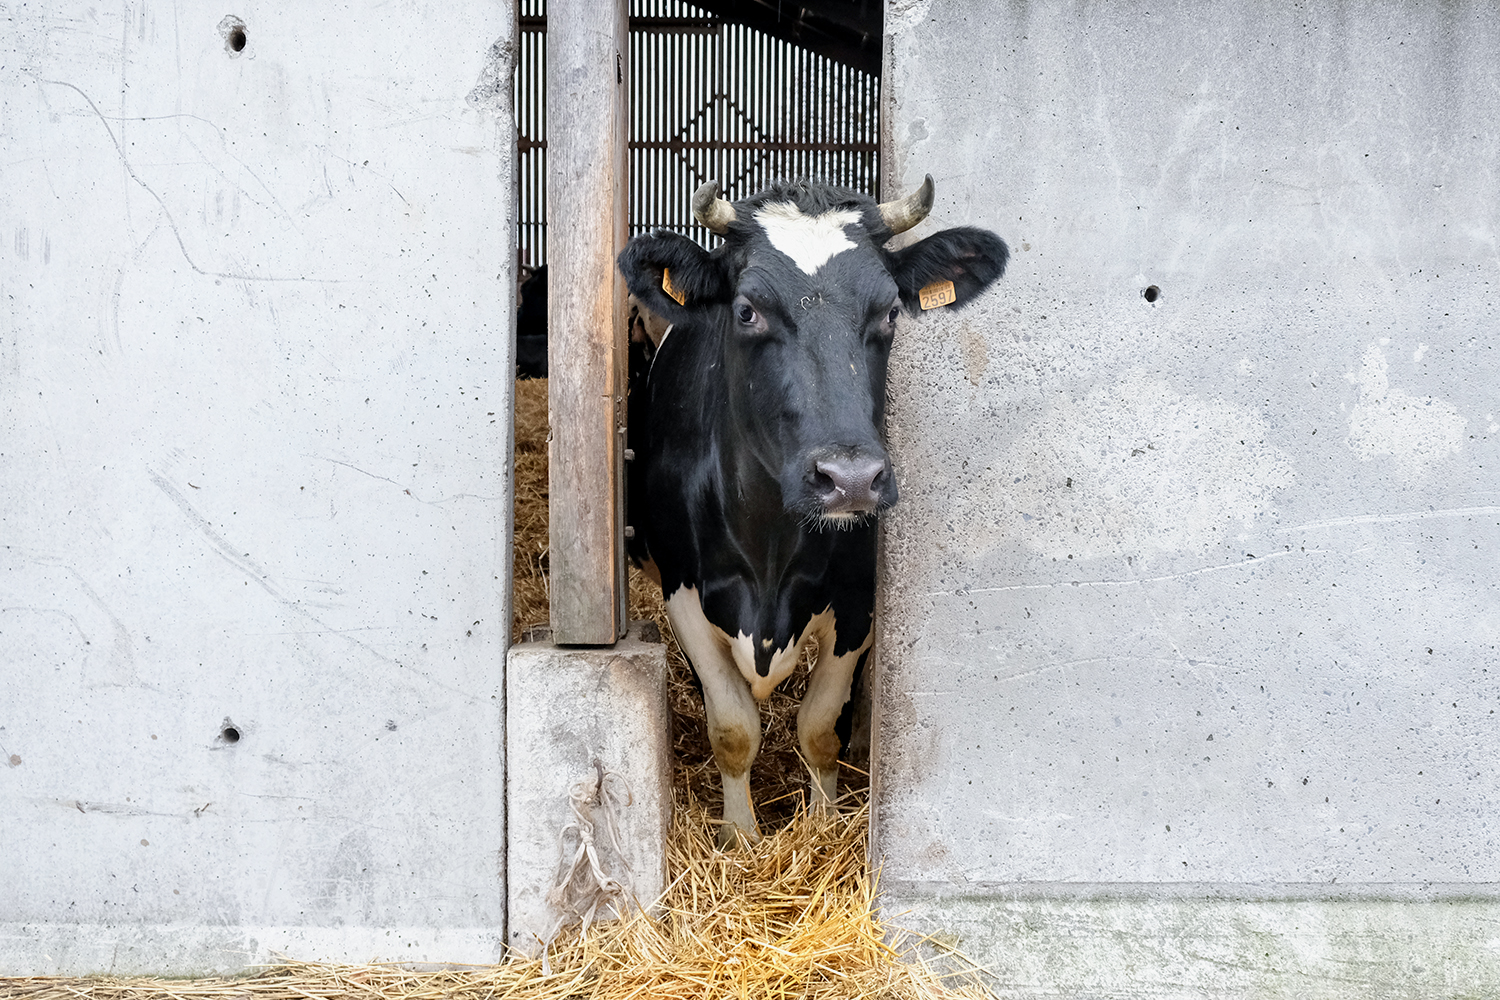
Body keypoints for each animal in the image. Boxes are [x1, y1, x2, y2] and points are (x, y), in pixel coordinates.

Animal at [615, 177, 1014, 845]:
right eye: (746, 310)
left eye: (891, 310)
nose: (850, 479)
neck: (771, 553)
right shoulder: (682, 592)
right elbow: (733, 728)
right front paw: (741, 836)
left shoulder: (856, 602)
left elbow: (818, 728)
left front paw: (824, 822)